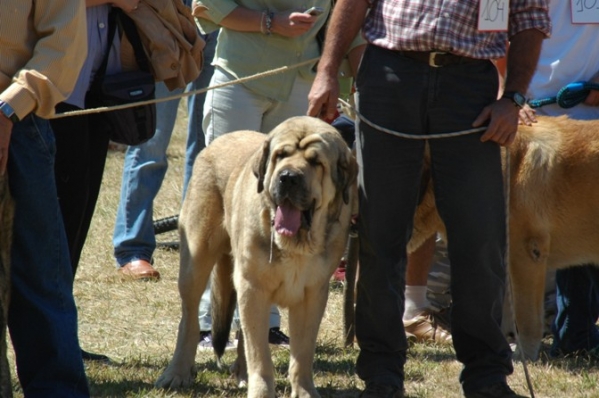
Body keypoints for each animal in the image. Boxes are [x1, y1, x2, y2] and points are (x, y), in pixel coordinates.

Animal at [157, 116, 358, 396]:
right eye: (280, 155)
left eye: (316, 162)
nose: (288, 177)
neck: (296, 245)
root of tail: (219, 141)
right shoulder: (253, 287)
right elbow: (260, 355)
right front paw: (262, 390)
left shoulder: (311, 295)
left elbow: (302, 354)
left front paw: (304, 391)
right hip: (195, 261)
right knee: (188, 319)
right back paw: (177, 373)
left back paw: (241, 373)